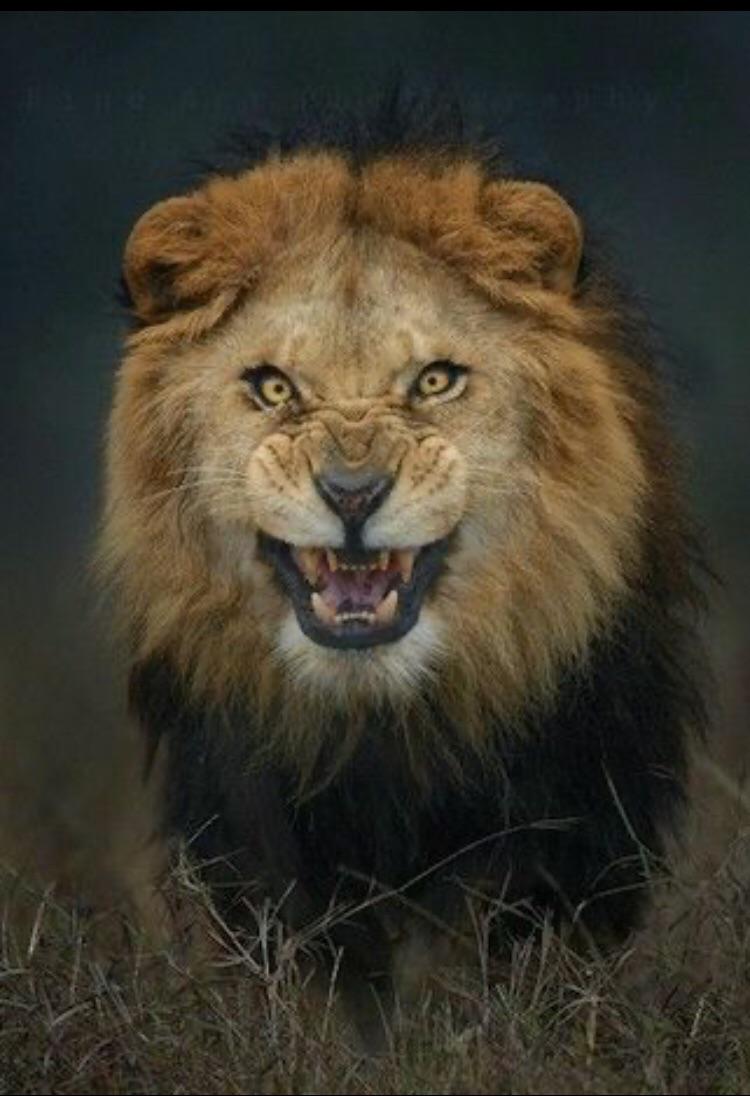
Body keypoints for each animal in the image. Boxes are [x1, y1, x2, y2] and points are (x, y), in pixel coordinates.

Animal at [99, 101, 704, 1037]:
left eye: (434, 380)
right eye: (275, 388)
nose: (352, 493)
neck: (380, 720)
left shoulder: (573, 817)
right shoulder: (250, 824)